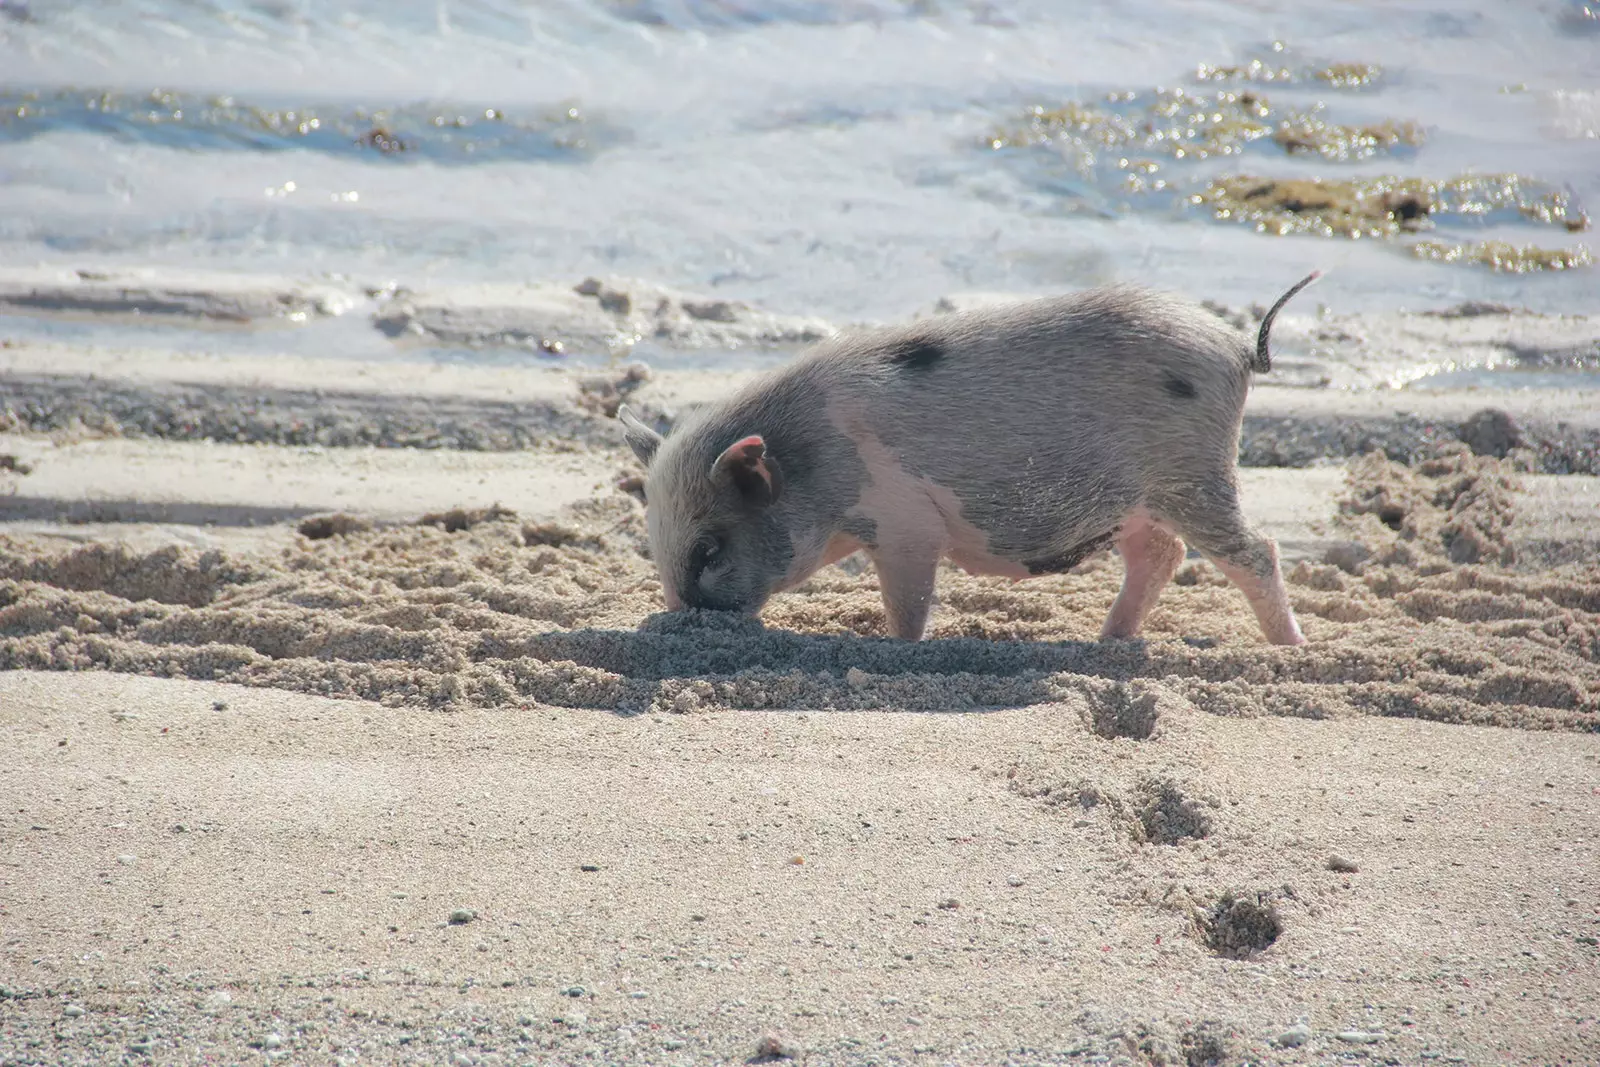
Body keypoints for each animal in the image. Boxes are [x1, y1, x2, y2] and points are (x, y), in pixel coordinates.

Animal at [611, 271, 1312, 646]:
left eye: (709, 549)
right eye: (653, 540)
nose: (672, 623)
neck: (817, 461)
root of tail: (1235, 348)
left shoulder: (906, 523)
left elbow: (910, 602)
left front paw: (894, 645)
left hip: (1194, 475)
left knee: (1255, 552)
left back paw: (1290, 650)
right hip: (1137, 501)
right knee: (1161, 553)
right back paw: (1105, 641)